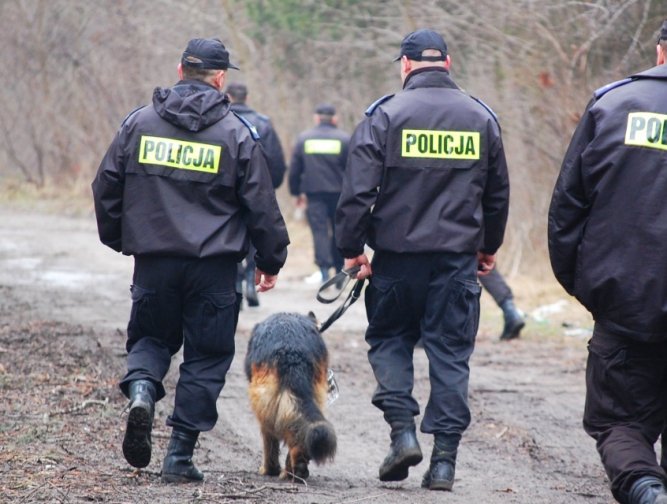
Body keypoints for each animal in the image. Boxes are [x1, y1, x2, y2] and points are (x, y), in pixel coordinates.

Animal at [245, 312, 336, 480]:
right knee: (297, 432)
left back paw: (271, 469)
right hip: (311, 397)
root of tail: (293, 352)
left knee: (271, 437)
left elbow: (271, 443)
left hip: (264, 405)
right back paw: (297, 468)